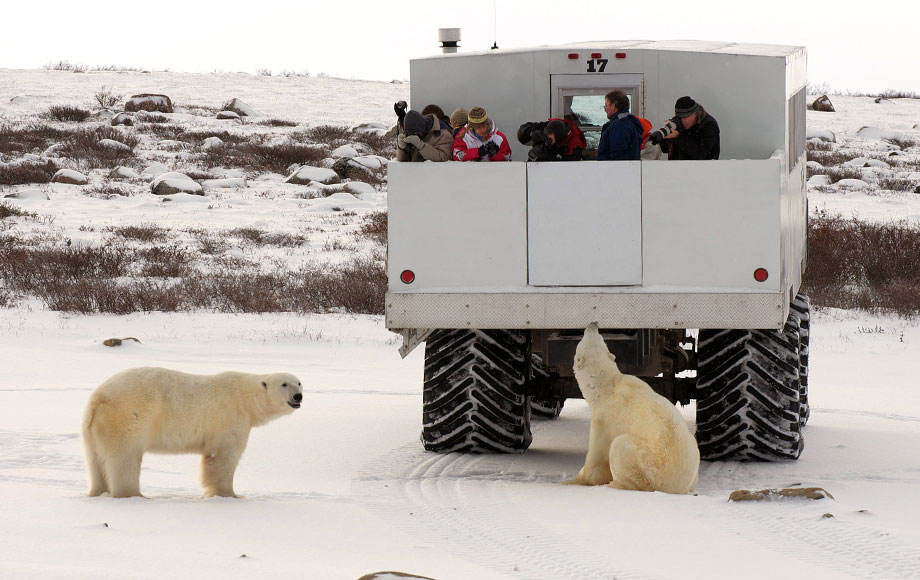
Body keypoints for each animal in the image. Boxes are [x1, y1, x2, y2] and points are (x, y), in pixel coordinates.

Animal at [81, 368, 304, 498]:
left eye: (299, 382)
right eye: (284, 384)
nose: (298, 396)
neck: (246, 399)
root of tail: (98, 398)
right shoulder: (229, 417)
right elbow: (222, 456)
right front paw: (229, 494)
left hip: (92, 428)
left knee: (95, 461)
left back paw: (98, 492)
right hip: (127, 417)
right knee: (124, 458)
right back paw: (133, 494)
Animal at [564, 322, 700, 494]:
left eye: (584, 338)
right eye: (601, 337)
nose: (593, 324)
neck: (608, 385)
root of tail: (677, 486)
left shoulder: (603, 419)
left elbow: (596, 458)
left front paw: (574, 481)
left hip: (650, 462)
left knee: (621, 447)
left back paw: (614, 484)